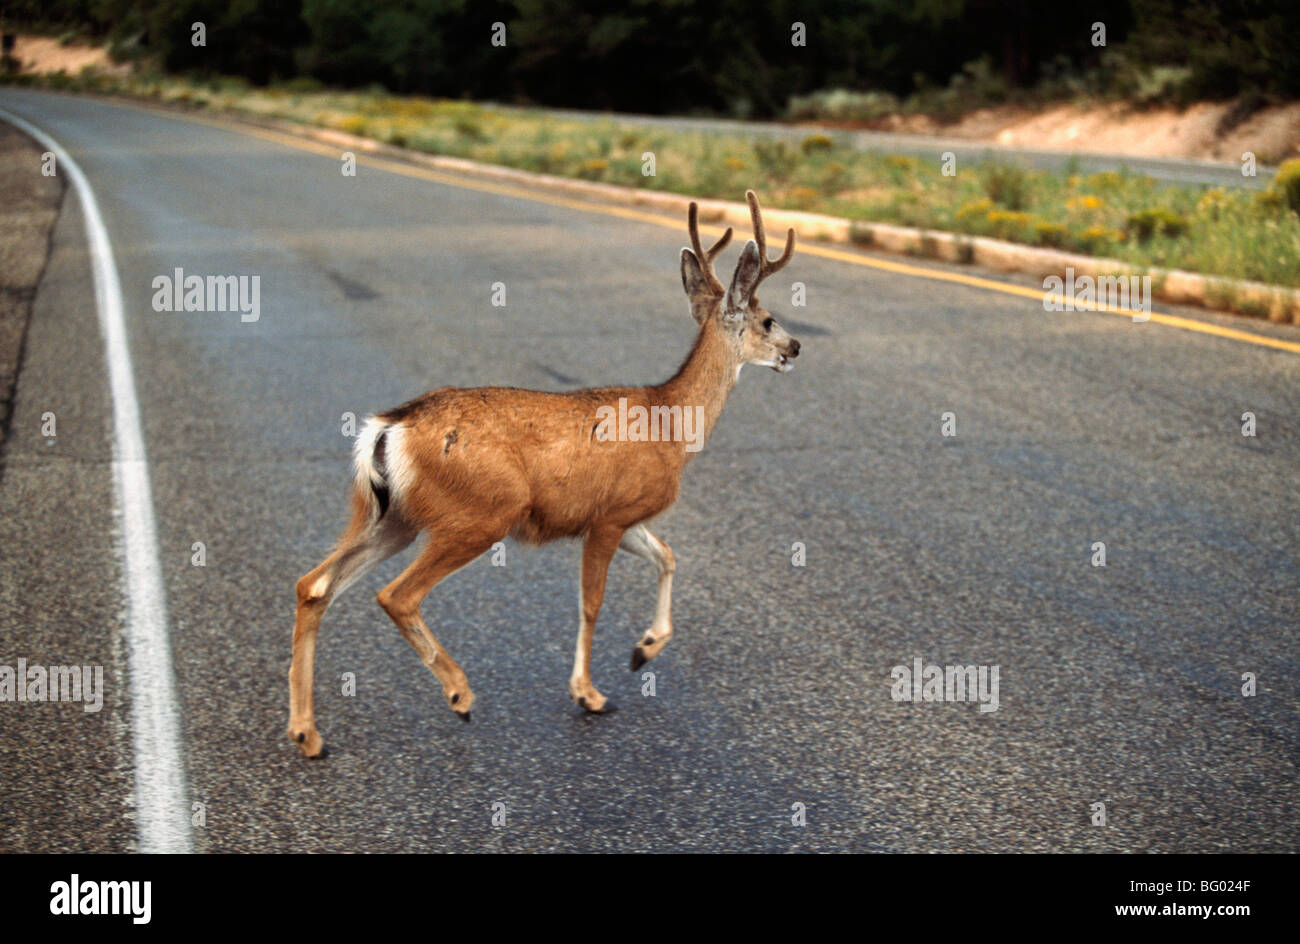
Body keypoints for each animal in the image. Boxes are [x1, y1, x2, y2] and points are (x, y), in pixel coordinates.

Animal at [292, 192, 800, 759]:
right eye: (768, 320)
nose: (795, 348)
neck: (670, 426)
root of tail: (389, 427)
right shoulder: (609, 517)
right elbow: (591, 603)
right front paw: (589, 694)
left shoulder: (619, 516)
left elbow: (668, 557)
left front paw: (644, 650)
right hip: (481, 512)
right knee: (396, 595)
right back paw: (460, 694)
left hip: (393, 516)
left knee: (313, 585)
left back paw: (307, 733)